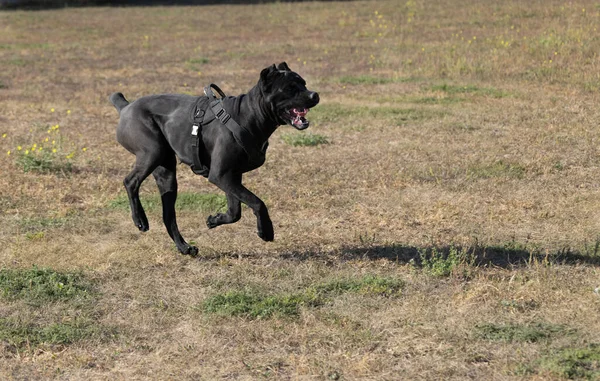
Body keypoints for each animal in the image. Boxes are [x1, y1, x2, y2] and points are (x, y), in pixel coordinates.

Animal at [110, 62, 322, 254]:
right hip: (152, 152)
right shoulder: (220, 175)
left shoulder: (231, 176)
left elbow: (235, 211)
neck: (248, 116)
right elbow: (257, 202)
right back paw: (140, 220)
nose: (315, 95)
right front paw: (266, 231)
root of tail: (126, 107)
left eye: (303, 83)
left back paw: (184, 247)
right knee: (130, 181)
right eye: (290, 88)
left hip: (166, 173)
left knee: (168, 215)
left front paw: (214, 220)